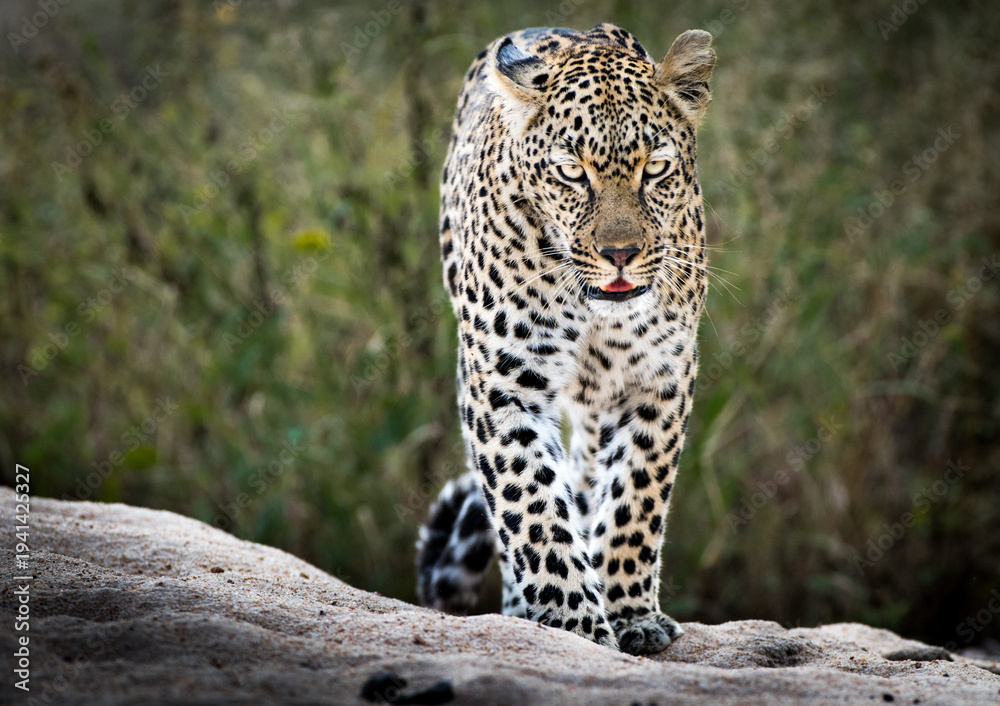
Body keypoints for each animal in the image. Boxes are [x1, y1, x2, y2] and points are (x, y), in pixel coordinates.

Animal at [416, 22, 716, 655]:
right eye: (572, 172)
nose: (621, 254)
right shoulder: (502, 384)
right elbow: (530, 501)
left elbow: (635, 498)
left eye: (655, 168)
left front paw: (630, 614)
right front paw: (573, 619)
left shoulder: (660, 379)